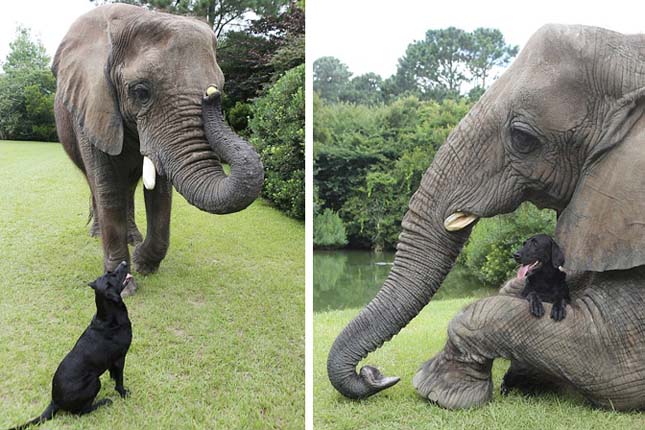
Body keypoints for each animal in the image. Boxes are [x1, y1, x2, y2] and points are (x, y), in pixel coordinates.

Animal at [8, 260, 133, 428]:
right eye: (113, 275)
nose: (125, 262)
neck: (108, 318)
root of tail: (54, 401)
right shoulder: (120, 358)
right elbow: (119, 380)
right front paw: (123, 393)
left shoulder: (113, 362)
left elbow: (114, 375)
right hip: (95, 382)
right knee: (81, 412)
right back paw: (103, 402)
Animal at [51, 4, 262, 276]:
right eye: (141, 92)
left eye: (221, 86)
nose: (211, 95)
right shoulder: (93, 106)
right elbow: (108, 188)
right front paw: (123, 279)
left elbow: (161, 193)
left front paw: (143, 263)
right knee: (96, 183)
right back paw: (97, 234)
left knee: (128, 188)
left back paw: (133, 239)